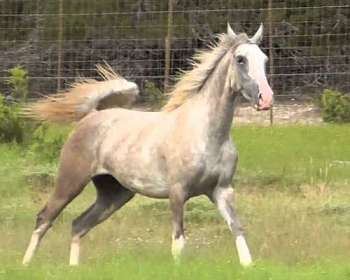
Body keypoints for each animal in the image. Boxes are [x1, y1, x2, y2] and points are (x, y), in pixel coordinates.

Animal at [21, 24, 274, 266]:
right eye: (240, 59)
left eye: (264, 59)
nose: (266, 99)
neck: (206, 134)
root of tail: (91, 115)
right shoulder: (178, 192)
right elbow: (178, 241)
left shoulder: (222, 190)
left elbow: (238, 230)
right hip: (70, 182)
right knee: (44, 218)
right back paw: (25, 264)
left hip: (114, 194)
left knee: (78, 225)